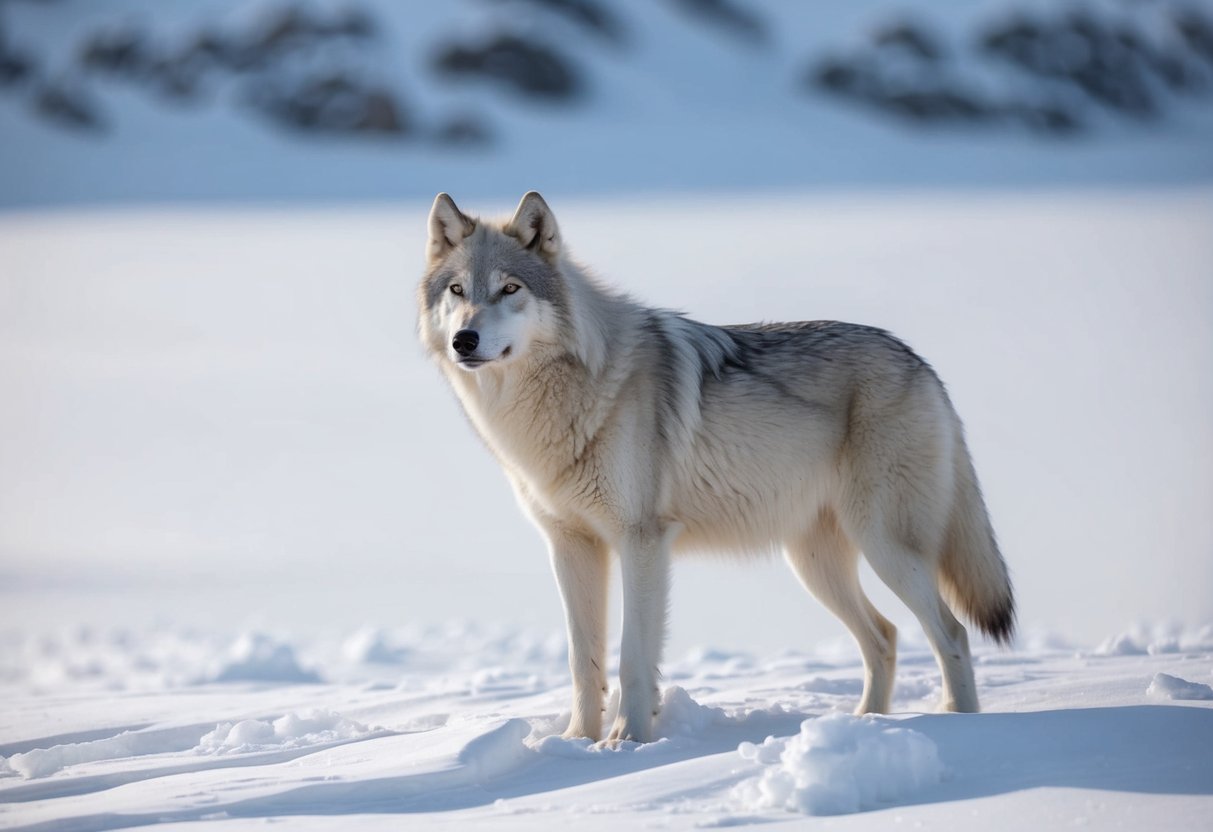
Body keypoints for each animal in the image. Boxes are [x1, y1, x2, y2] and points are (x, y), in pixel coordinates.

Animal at [417, 191, 1014, 744]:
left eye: (510, 289)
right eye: (458, 291)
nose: (465, 340)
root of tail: (921, 363)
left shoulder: (642, 542)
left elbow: (632, 657)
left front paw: (626, 742)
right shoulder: (570, 547)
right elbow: (582, 662)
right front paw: (576, 744)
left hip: (885, 546)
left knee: (952, 633)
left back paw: (966, 731)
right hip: (816, 564)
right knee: (885, 636)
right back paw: (868, 724)